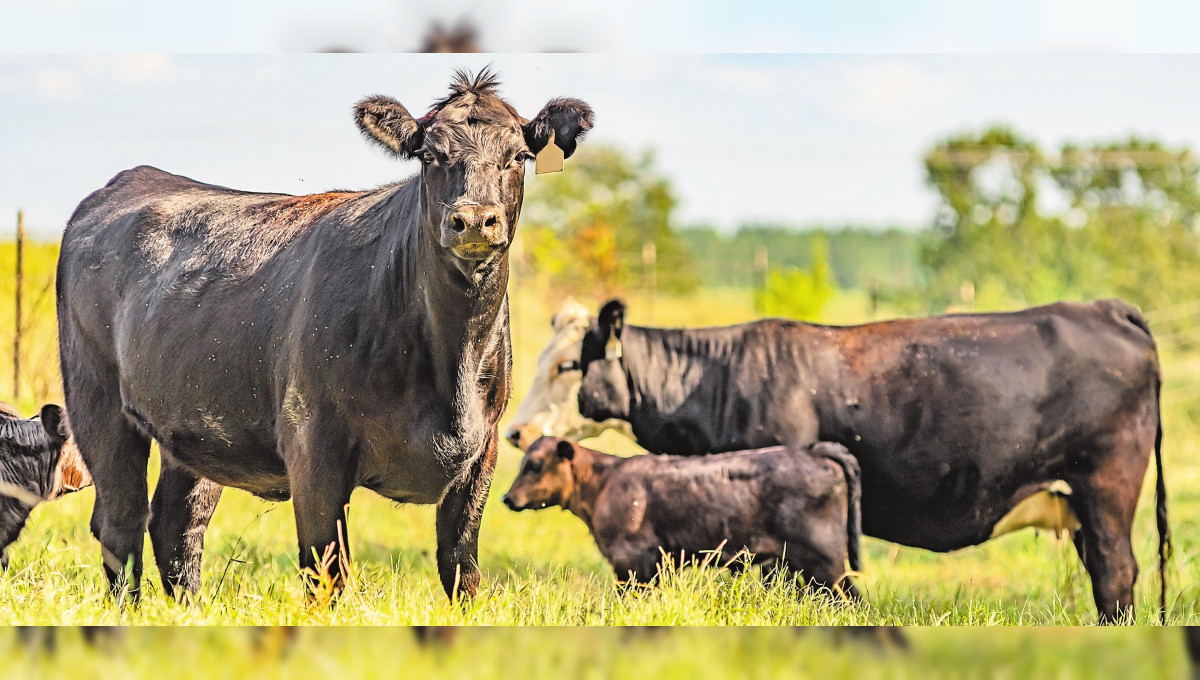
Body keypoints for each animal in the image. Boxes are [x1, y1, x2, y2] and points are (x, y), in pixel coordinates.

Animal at [58, 67, 592, 602]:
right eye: (430, 155)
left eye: (518, 156)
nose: (475, 220)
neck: (449, 364)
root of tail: (132, 180)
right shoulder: (313, 445)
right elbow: (327, 570)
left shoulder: (483, 451)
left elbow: (462, 569)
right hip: (97, 399)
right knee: (121, 519)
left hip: (196, 423)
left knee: (177, 522)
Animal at [508, 297, 1171, 623]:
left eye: (567, 364)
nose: (516, 431)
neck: (716, 380)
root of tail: (1101, 307)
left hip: (1107, 489)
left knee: (1116, 574)